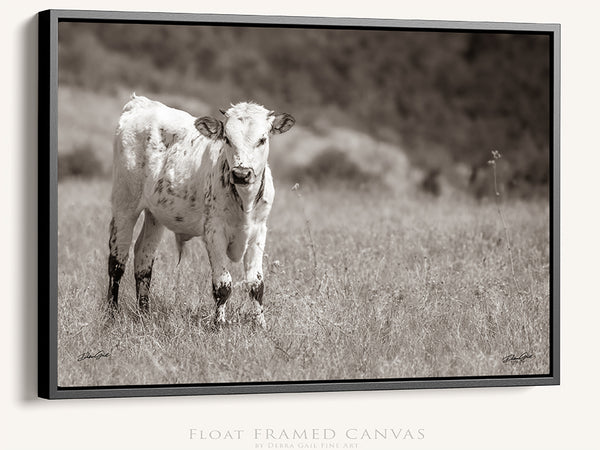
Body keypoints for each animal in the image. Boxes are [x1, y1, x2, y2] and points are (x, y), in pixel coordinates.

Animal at [109, 95, 296, 326]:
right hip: (124, 204)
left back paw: (144, 314)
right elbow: (223, 284)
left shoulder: (259, 232)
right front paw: (219, 324)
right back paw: (111, 315)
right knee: (117, 261)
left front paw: (260, 325)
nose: (241, 174)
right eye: (227, 139)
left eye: (262, 139)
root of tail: (141, 103)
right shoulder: (214, 233)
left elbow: (256, 284)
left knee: (143, 260)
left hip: (155, 215)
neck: (245, 201)